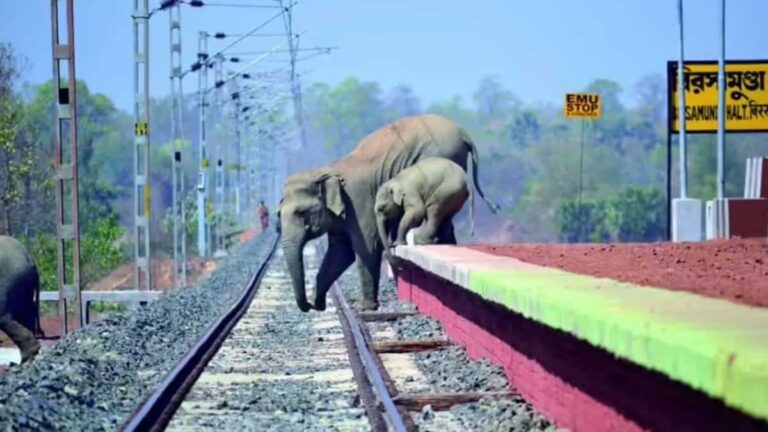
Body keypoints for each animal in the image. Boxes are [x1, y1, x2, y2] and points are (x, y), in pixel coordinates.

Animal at [279, 113, 499, 313]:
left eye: (301, 212)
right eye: (278, 214)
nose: (310, 306)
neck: (328, 171)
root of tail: (464, 133)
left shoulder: (358, 202)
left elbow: (366, 248)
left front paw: (365, 308)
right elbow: (339, 252)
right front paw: (320, 302)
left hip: (443, 156)